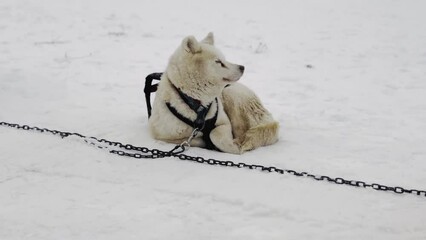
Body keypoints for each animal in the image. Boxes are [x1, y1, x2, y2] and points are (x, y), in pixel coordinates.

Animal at [150, 32, 280, 154]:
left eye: (224, 59)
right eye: (218, 62)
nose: (242, 67)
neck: (198, 104)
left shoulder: (224, 123)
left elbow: (214, 134)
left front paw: (233, 146)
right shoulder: (163, 135)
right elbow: (192, 139)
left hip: (231, 94)